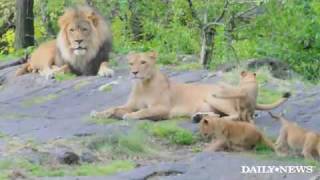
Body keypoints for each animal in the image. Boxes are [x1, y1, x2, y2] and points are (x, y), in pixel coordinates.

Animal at [90, 51, 229, 120]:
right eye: (131, 63)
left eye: (143, 62)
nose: (134, 72)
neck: (143, 85)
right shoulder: (130, 105)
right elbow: (113, 108)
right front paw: (99, 114)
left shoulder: (163, 108)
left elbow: (144, 111)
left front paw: (129, 115)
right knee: (218, 115)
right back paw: (198, 116)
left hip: (215, 98)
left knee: (232, 116)